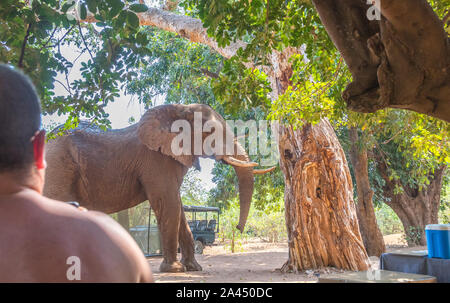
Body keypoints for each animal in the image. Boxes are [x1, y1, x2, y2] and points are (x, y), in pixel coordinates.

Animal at [43, 104, 274, 274]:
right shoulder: (156, 161)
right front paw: (175, 270)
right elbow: (168, 204)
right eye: (210, 132)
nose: (238, 228)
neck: (179, 109)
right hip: (58, 166)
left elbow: (178, 208)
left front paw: (194, 268)